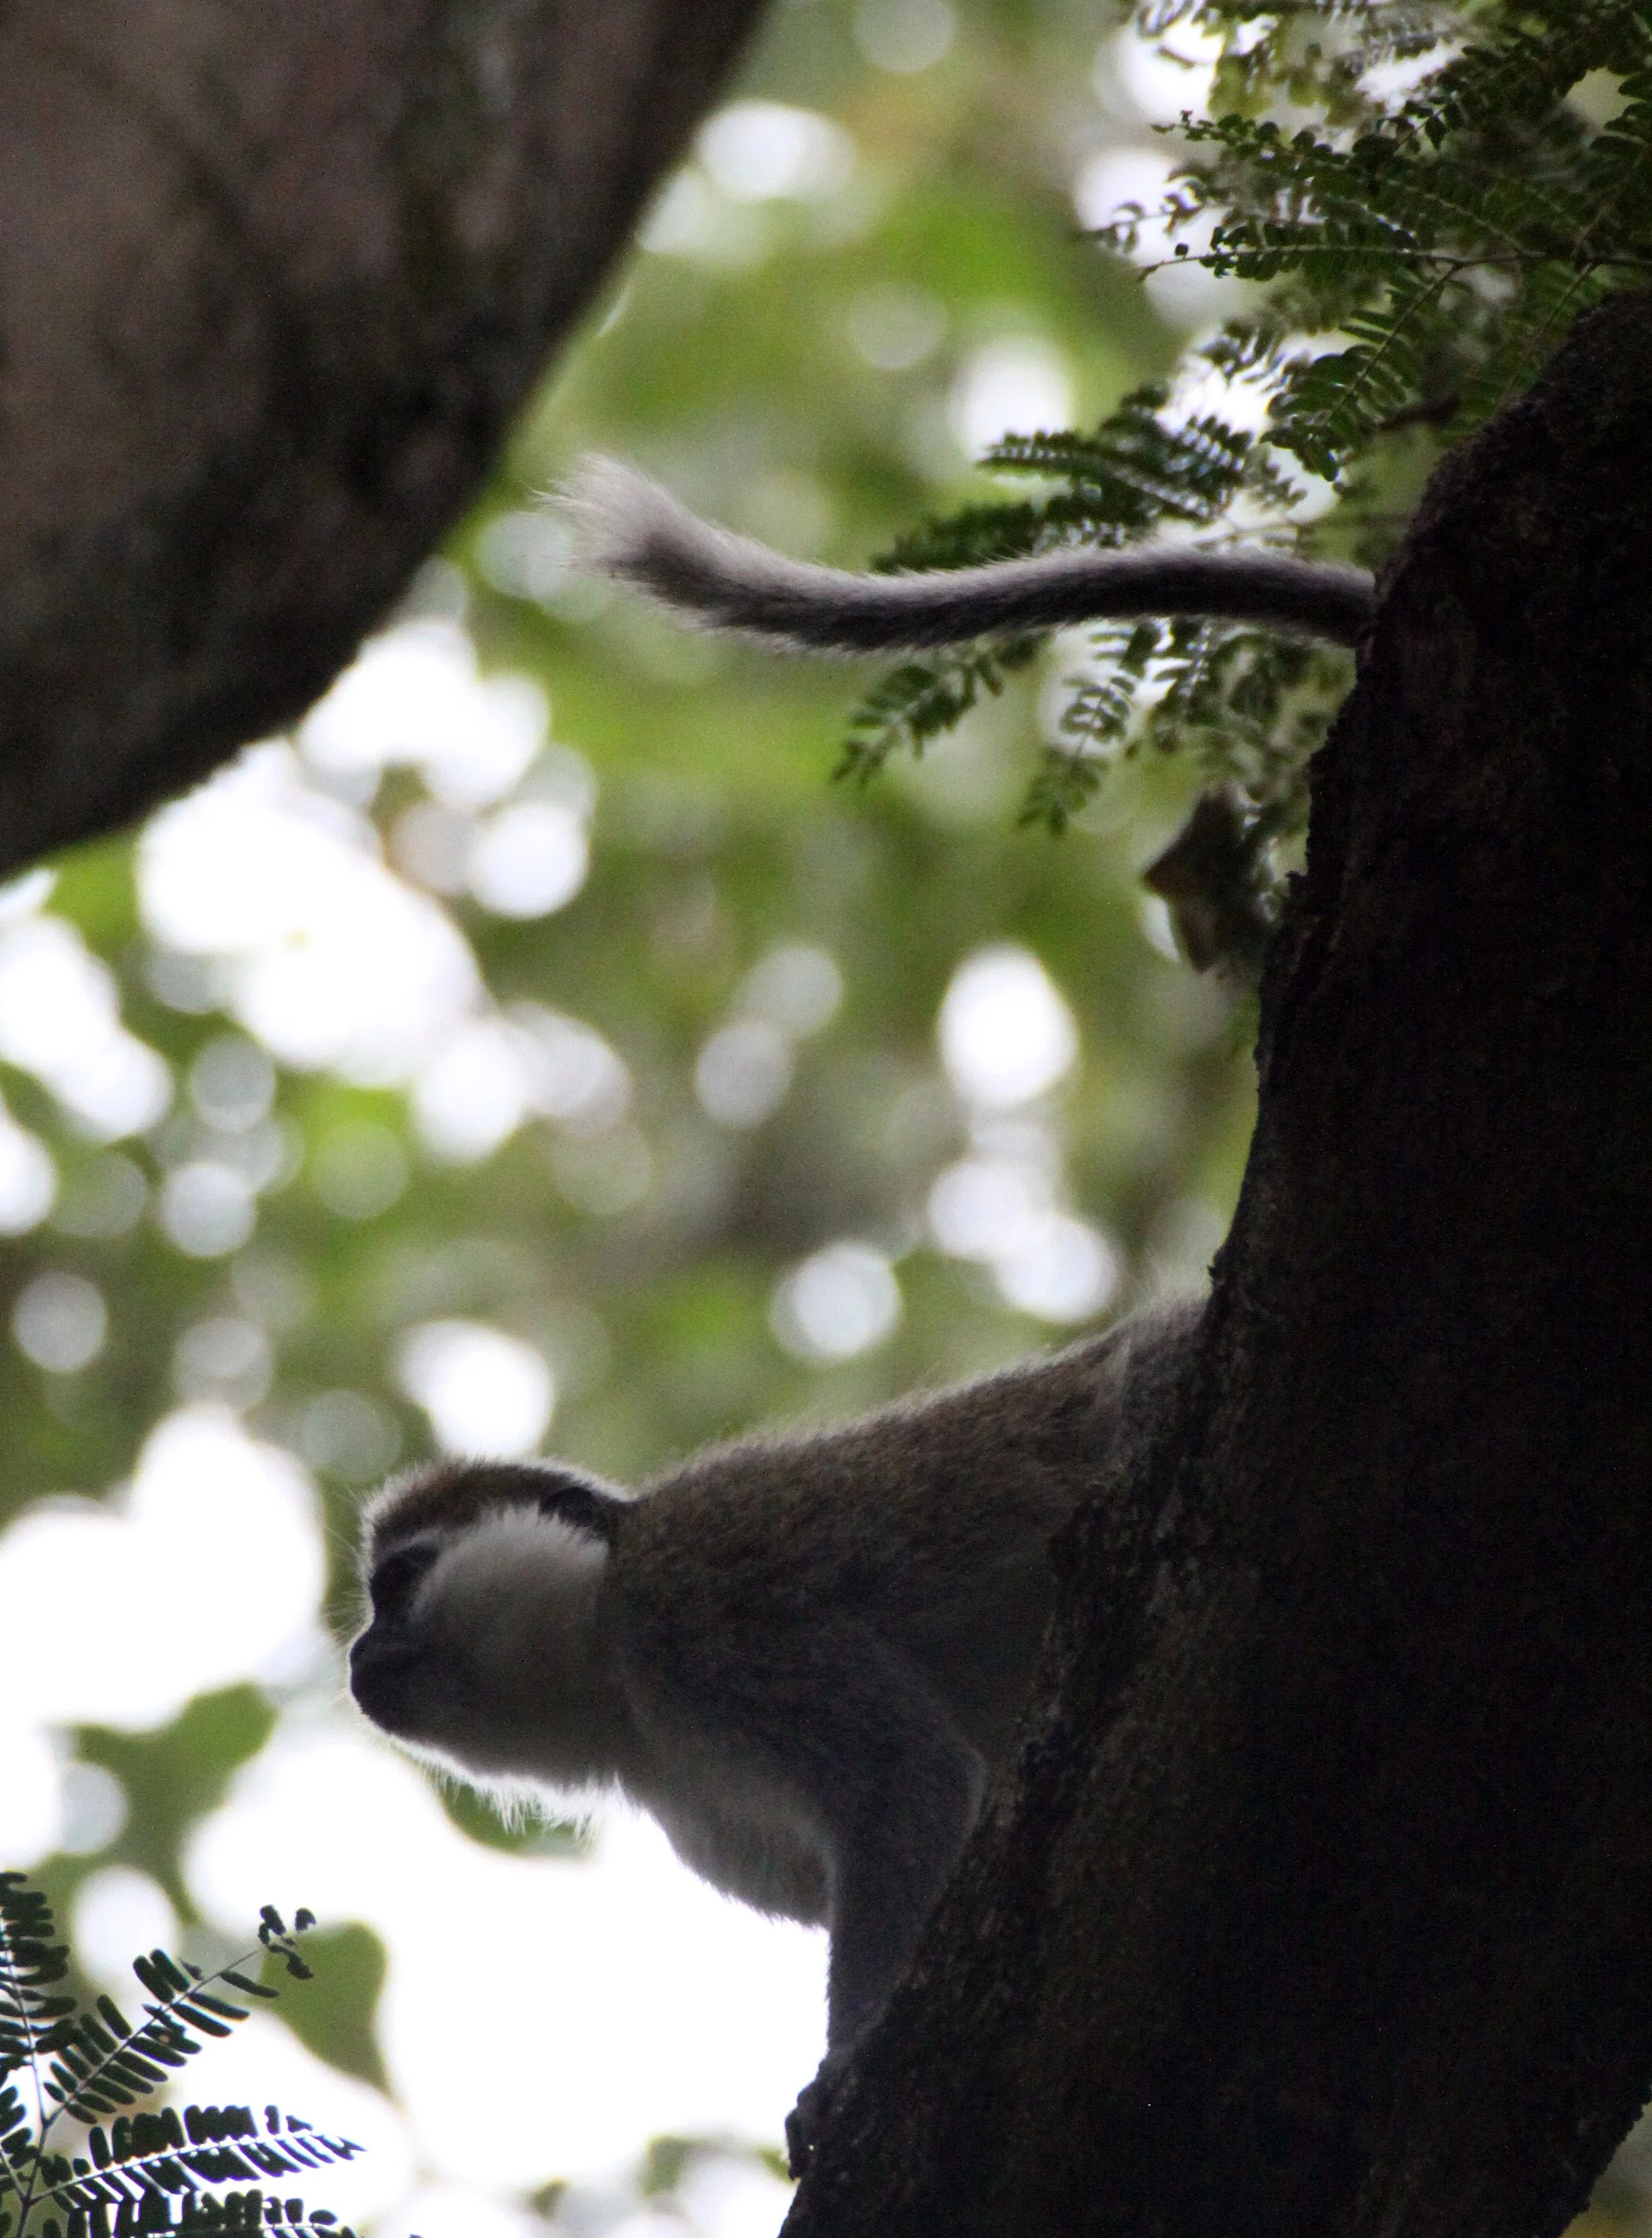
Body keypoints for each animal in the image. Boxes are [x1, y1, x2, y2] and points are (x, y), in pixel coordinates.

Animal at [349, 1295, 1202, 2171]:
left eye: (400, 1584)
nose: (359, 1656)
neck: (618, 1684)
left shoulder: (695, 1605)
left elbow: (906, 1777)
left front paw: (847, 2064)